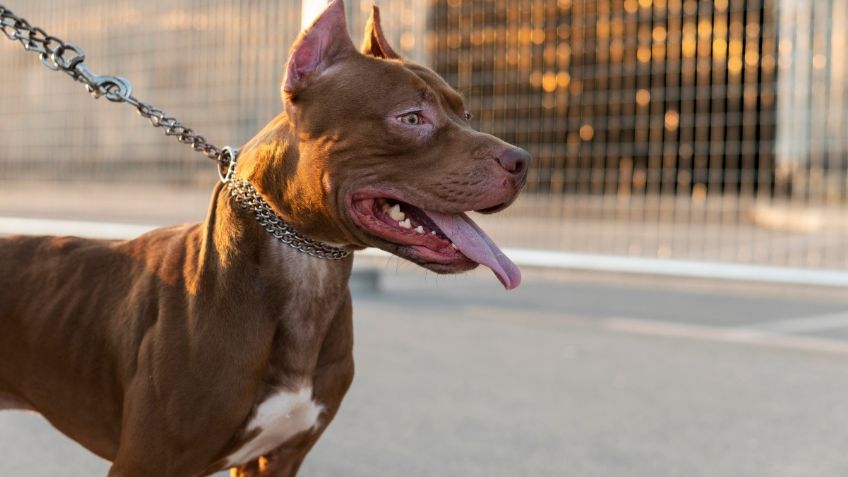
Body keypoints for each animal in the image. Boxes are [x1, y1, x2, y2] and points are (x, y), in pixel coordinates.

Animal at [0, 1, 528, 474]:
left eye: (465, 113)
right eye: (411, 118)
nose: (522, 160)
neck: (308, 267)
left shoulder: (279, 457)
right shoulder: (147, 462)